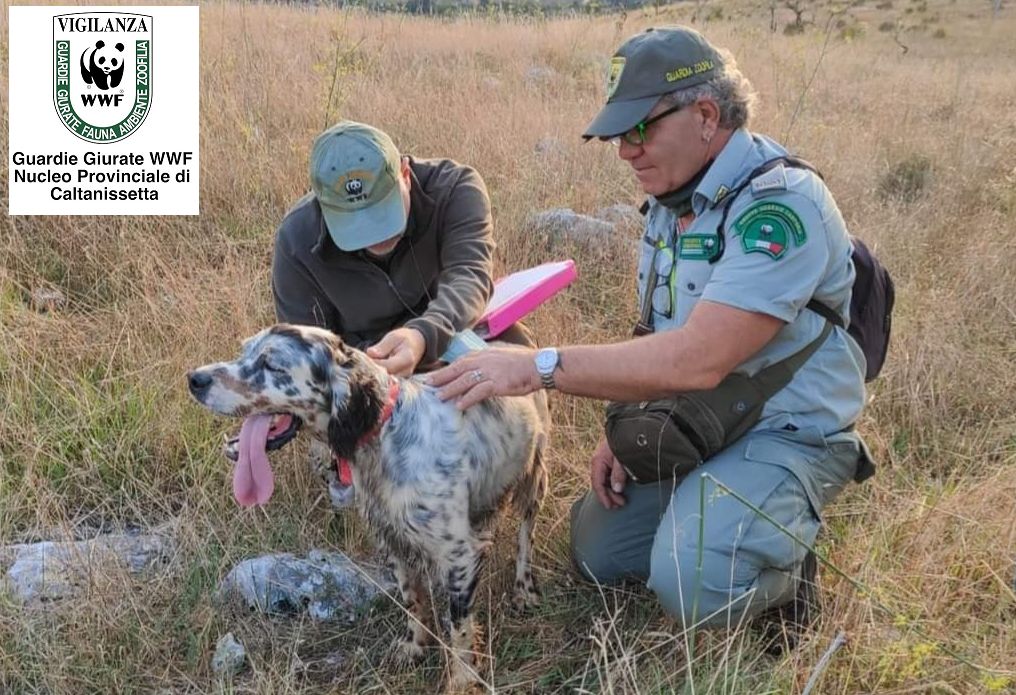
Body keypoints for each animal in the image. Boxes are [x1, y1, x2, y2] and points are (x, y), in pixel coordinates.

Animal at [182, 325, 548, 690]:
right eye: (244, 352)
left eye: (272, 365)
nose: (195, 378)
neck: (385, 434)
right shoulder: (390, 537)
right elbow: (411, 598)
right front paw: (414, 646)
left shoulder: (458, 554)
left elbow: (458, 628)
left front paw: (461, 679)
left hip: (534, 481)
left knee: (525, 539)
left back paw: (524, 590)